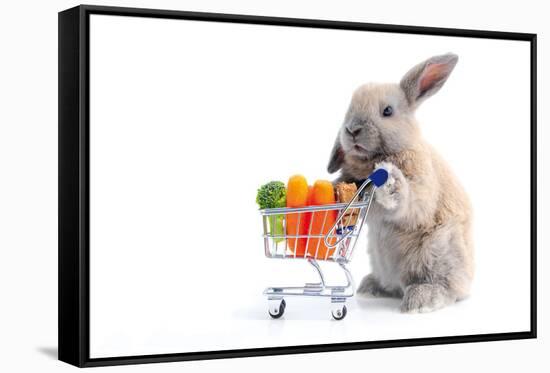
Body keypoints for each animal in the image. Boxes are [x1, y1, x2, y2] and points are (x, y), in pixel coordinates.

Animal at [328, 53, 474, 312]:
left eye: (387, 111)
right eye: (348, 109)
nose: (352, 130)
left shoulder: (421, 189)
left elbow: (411, 201)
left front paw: (390, 183)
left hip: (438, 249)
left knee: (447, 288)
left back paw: (421, 298)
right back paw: (370, 287)